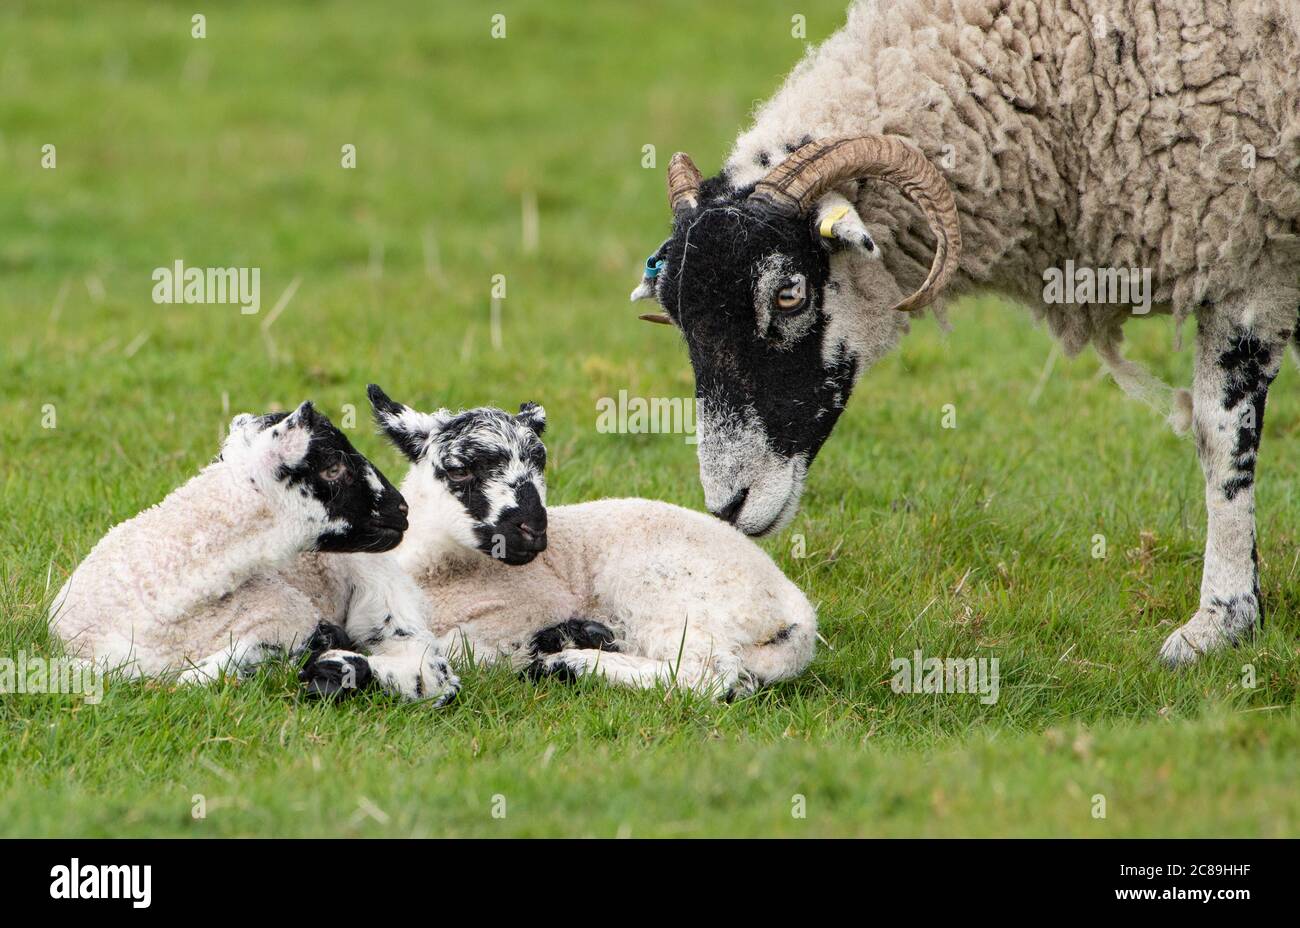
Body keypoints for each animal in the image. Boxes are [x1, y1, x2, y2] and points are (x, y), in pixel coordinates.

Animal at [305, 382, 816, 696]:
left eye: (541, 463)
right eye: (460, 469)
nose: (534, 530)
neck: (436, 573)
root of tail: (797, 616)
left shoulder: (523, 608)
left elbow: (456, 651)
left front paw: (338, 666)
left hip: (665, 592)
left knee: (707, 677)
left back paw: (567, 662)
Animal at [629, 0, 1300, 665]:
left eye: (790, 294)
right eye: (678, 316)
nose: (727, 509)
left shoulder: (1253, 263)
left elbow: (1221, 439)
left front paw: (1222, 620)